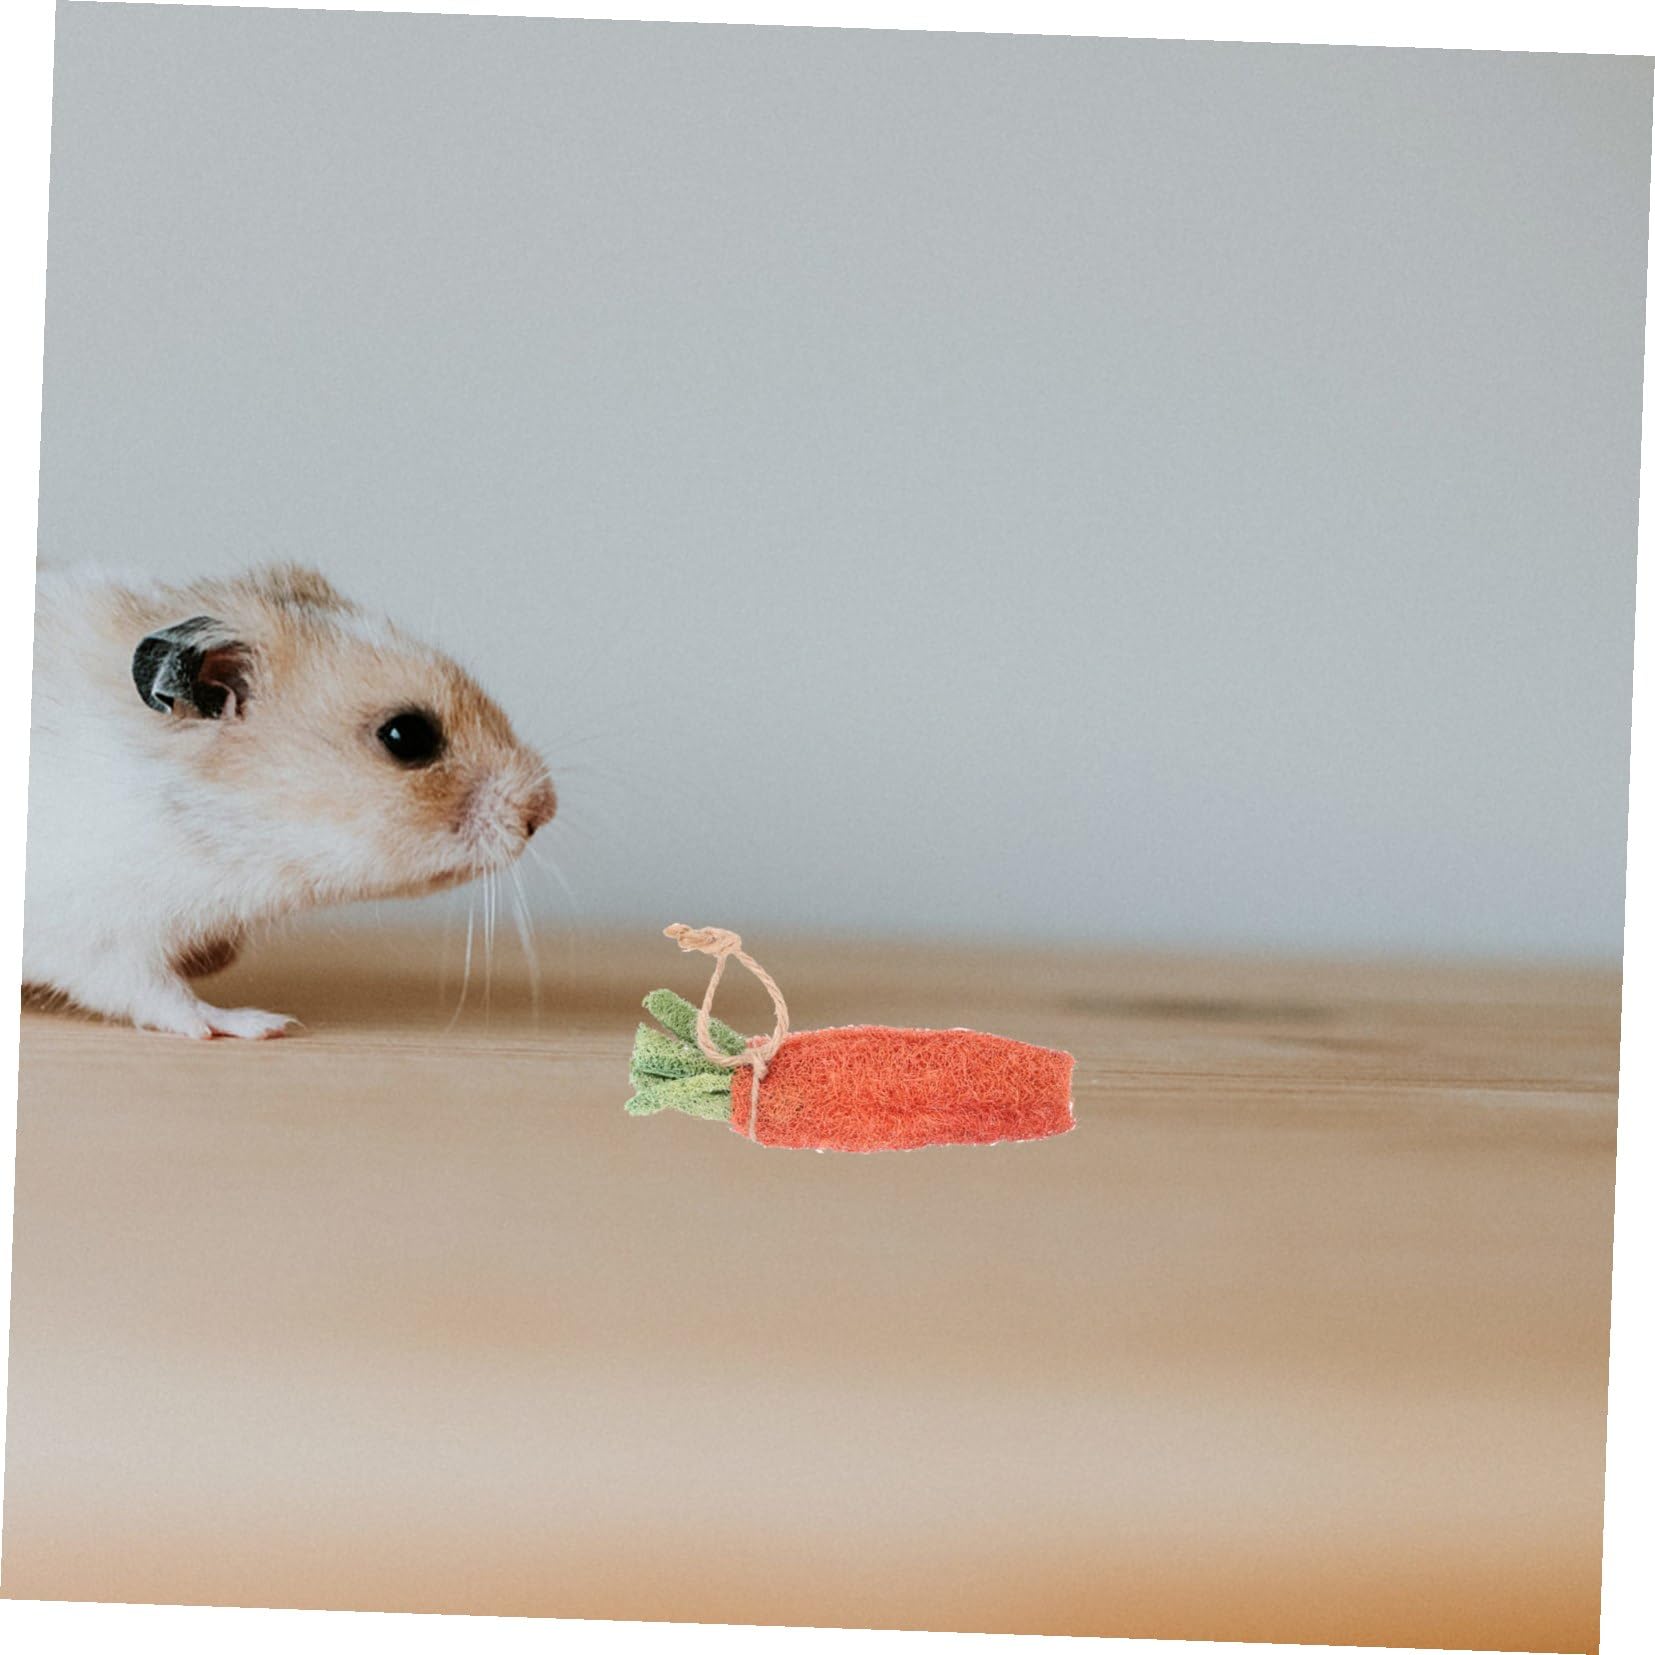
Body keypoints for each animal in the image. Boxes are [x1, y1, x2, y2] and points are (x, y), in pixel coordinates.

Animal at [22, 562, 557, 1038]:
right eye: (406, 736)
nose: (544, 808)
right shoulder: (101, 934)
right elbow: (159, 996)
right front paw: (260, 1025)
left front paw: (215, 960)